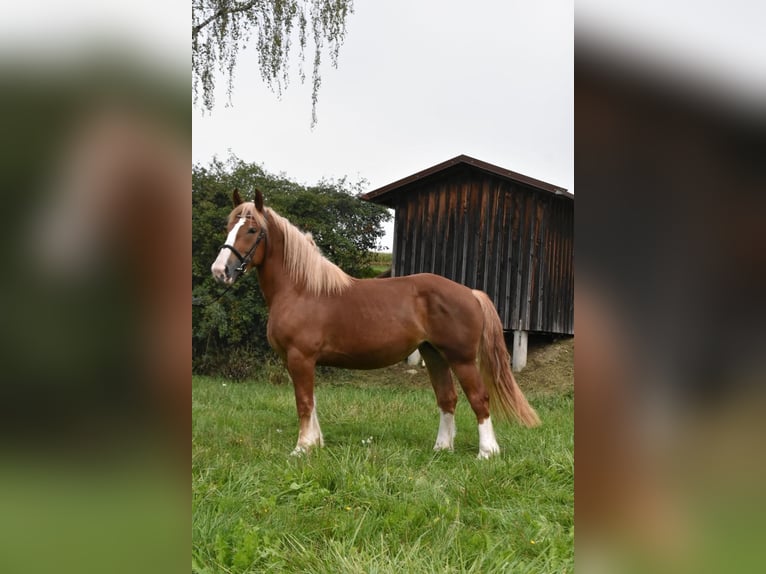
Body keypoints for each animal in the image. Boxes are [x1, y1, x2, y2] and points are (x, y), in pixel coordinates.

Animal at [211, 189, 540, 458]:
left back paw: (487, 452)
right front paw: (316, 444)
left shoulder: (300, 357)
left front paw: (302, 449)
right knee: (447, 398)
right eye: (229, 226)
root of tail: (470, 292)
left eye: (252, 229)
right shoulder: (301, 361)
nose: (219, 271)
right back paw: (442, 448)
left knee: (479, 398)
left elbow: (304, 402)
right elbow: (312, 401)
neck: (301, 289)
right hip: (434, 354)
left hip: (462, 359)